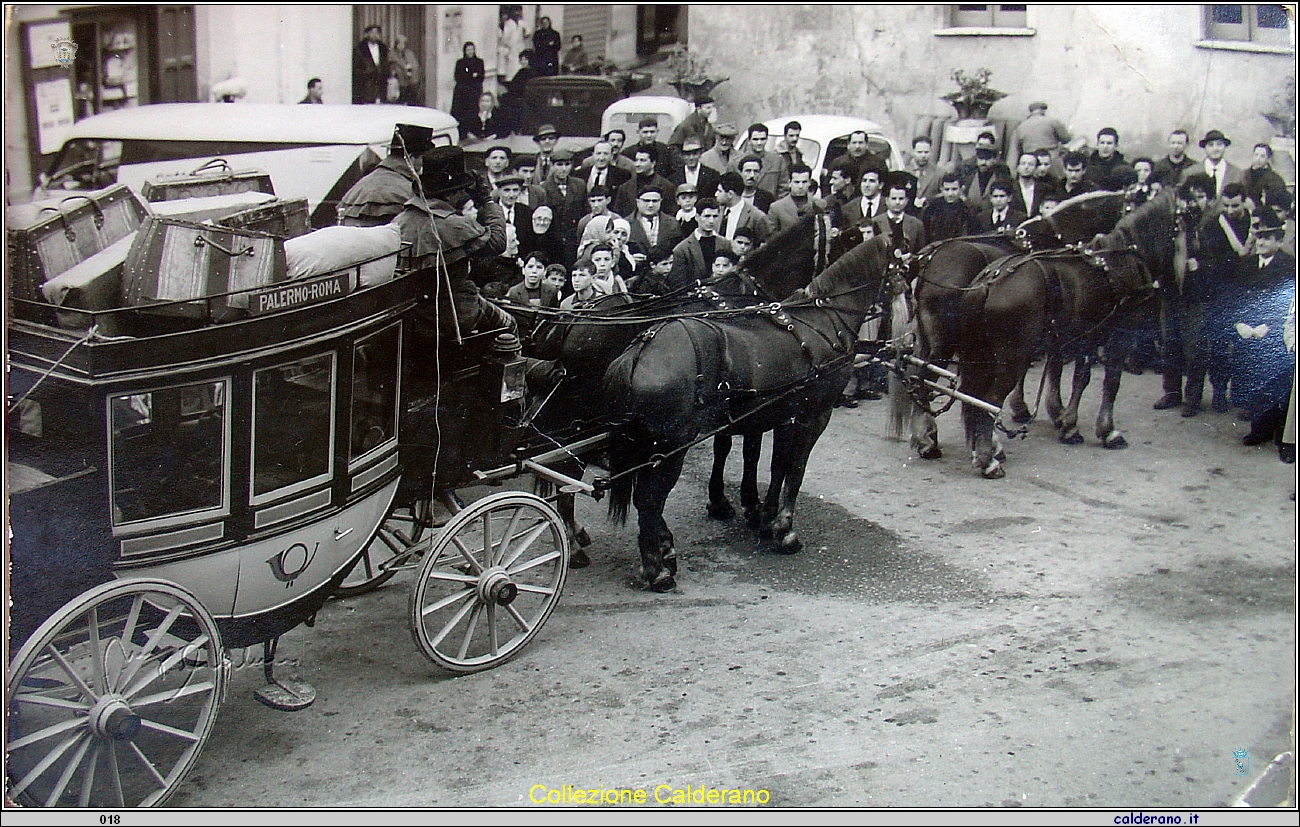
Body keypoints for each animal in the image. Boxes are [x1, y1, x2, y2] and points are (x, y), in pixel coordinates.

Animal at [598, 235, 894, 590]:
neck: (821, 319)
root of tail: (641, 349)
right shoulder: (814, 415)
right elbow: (795, 471)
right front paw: (785, 530)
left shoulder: (781, 416)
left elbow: (776, 466)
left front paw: (765, 518)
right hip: (669, 448)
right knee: (649, 500)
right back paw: (657, 570)